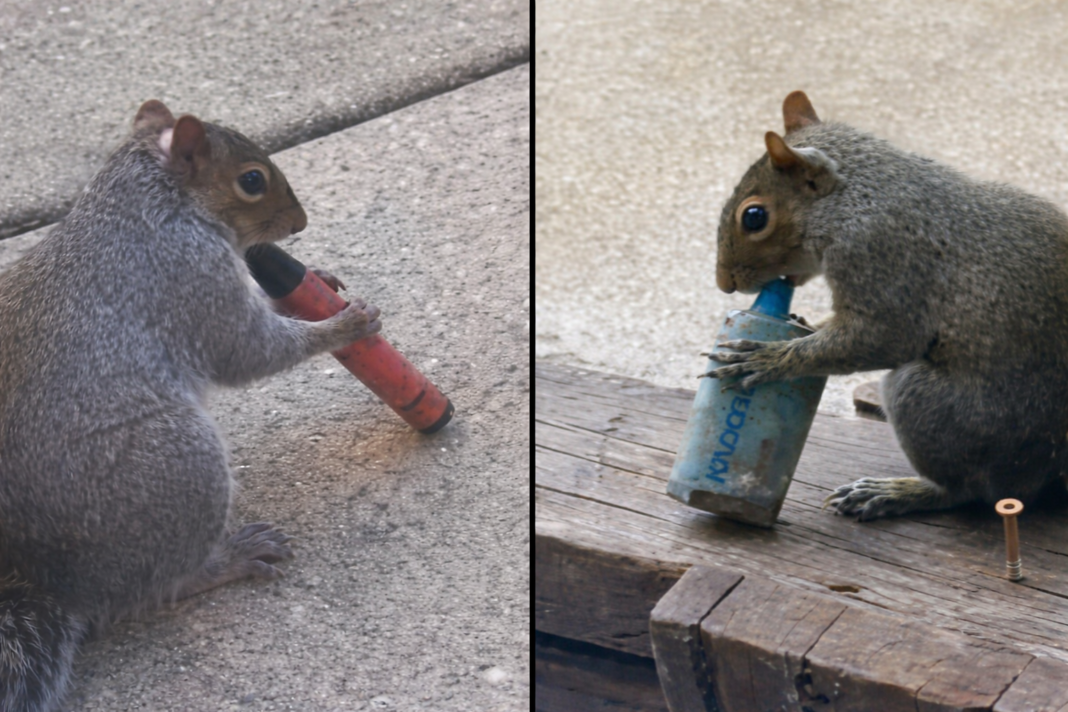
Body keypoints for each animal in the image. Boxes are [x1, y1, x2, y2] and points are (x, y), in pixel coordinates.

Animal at [0, 100, 381, 711]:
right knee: (160, 585)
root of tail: (57, 581)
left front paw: (313, 282)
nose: (298, 225)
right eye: (252, 181)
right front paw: (342, 326)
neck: (146, 199)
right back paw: (232, 558)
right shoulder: (192, 277)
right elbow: (248, 350)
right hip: (180, 467)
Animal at [709, 90, 1068, 522]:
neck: (860, 196)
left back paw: (895, 492)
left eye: (754, 217)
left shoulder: (880, 259)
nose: (724, 283)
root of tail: (1042, 472)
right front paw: (804, 324)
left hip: (929, 403)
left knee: (968, 492)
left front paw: (766, 359)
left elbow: (884, 338)